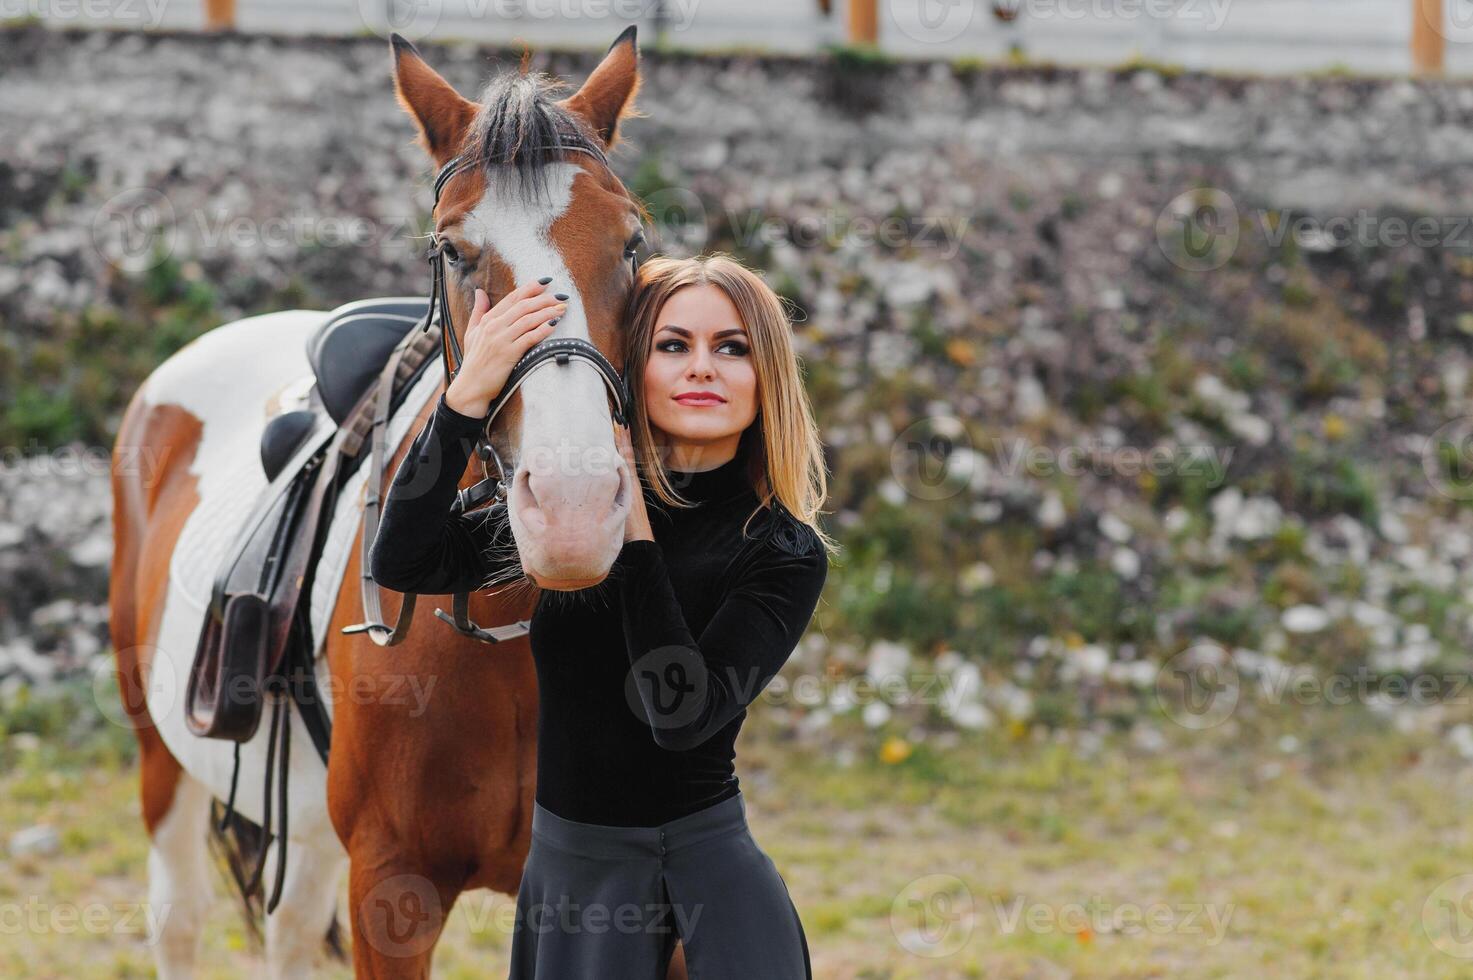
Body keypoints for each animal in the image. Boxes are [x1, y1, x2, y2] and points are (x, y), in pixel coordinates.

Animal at [109, 30, 689, 978]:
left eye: (631, 241)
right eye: (452, 251)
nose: (570, 509)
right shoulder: (392, 888)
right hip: (160, 753)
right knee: (180, 921)